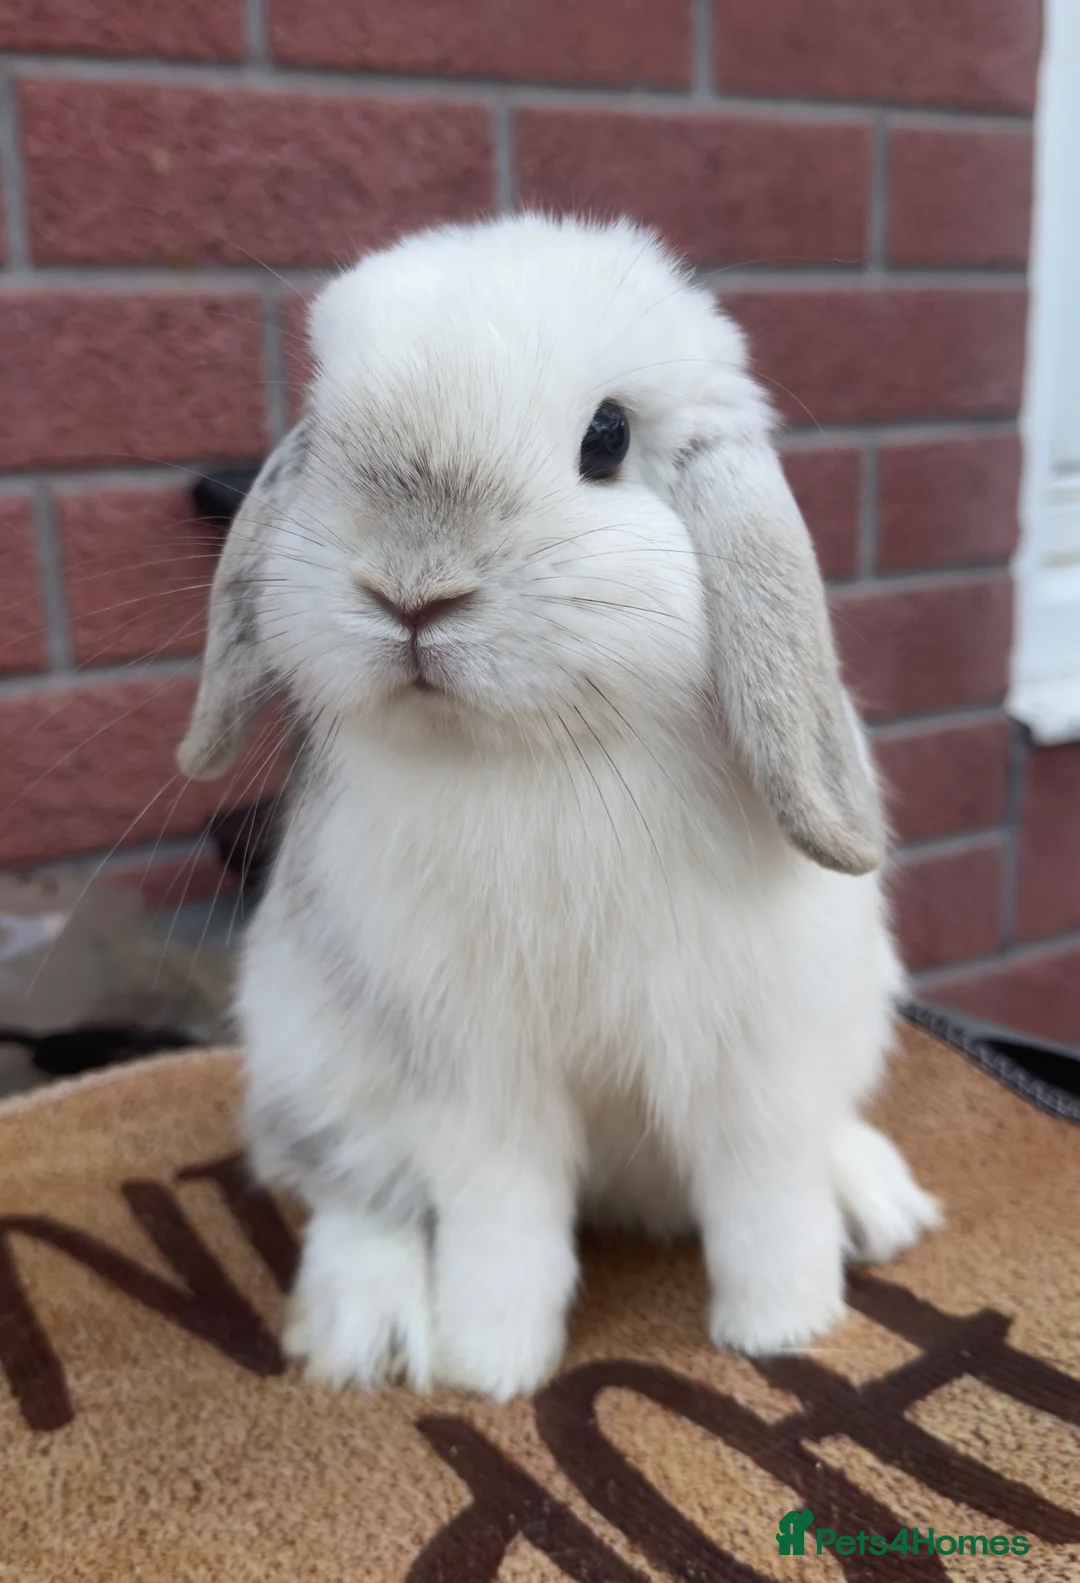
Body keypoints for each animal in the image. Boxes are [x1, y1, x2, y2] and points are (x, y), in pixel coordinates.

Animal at [178, 213, 939, 1401]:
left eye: (607, 438)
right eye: (330, 435)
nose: (412, 590)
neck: (541, 752)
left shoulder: (755, 1052)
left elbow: (766, 1195)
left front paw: (783, 1329)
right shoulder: (477, 1073)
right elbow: (502, 1215)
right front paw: (491, 1363)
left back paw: (877, 1202)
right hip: (310, 1054)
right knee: (357, 1193)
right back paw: (365, 1331)